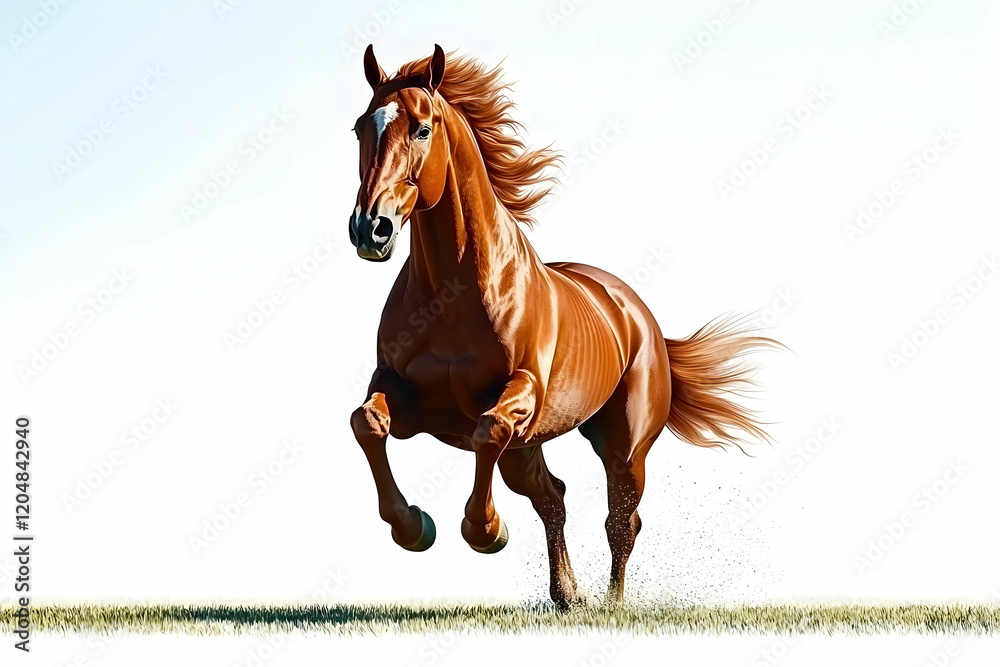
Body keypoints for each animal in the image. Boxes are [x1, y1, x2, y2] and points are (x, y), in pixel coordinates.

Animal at [347, 44, 778, 607]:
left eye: (422, 129)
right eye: (360, 128)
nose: (369, 228)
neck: (452, 293)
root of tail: (641, 319)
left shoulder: (520, 395)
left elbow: (489, 427)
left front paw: (486, 532)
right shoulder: (400, 390)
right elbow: (367, 422)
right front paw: (414, 527)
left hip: (623, 450)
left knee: (621, 522)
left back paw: (612, 604)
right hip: (527, 452)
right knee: (554, 498)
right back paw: (567, 593)